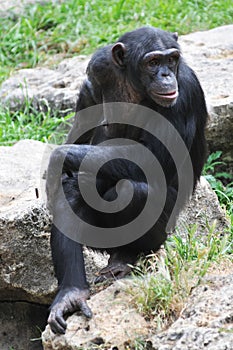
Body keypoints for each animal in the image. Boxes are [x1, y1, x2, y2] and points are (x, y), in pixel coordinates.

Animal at [46, 26, 208, 334]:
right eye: (153, 62)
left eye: (172, 60)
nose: (165, 75)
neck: (134, 83)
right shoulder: (99, 66)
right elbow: (88, 101)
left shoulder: (183, 92)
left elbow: (150, 160)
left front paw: (59, 156)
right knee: (72, 194)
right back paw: (72, 293)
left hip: (163, 233)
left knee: (133, 190)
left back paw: (127, 259)